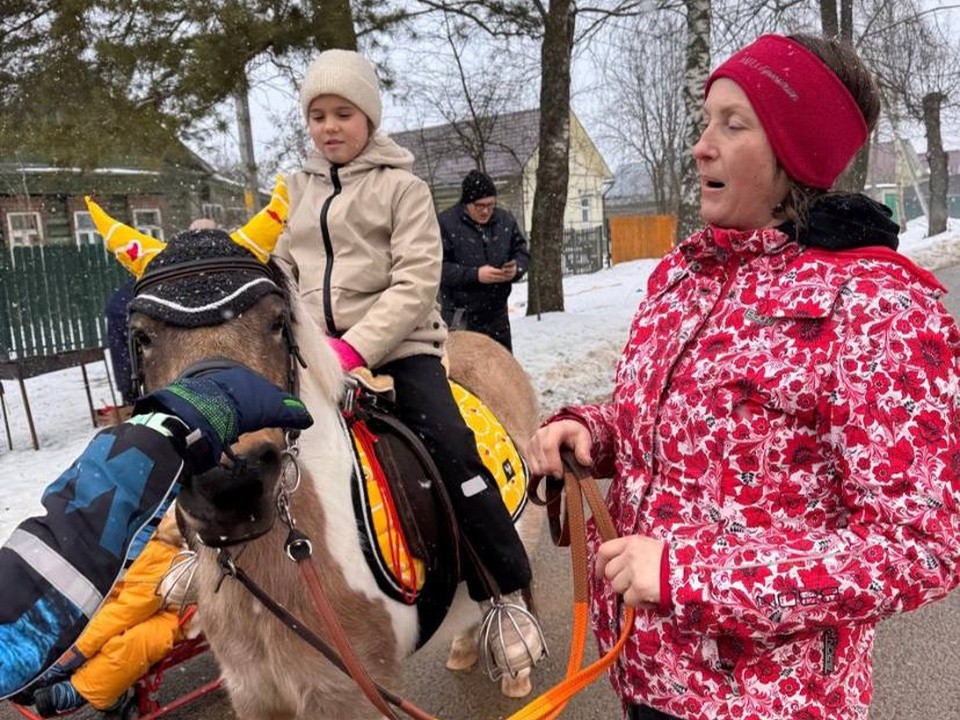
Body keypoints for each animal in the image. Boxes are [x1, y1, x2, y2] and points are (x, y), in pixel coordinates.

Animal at [86, 188, 544, 716]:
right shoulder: (253, 693)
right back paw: (465, 648)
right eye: (141, 336)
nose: (232, 486)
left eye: (276, 322)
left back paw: (514, 653)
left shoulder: (350, 694)